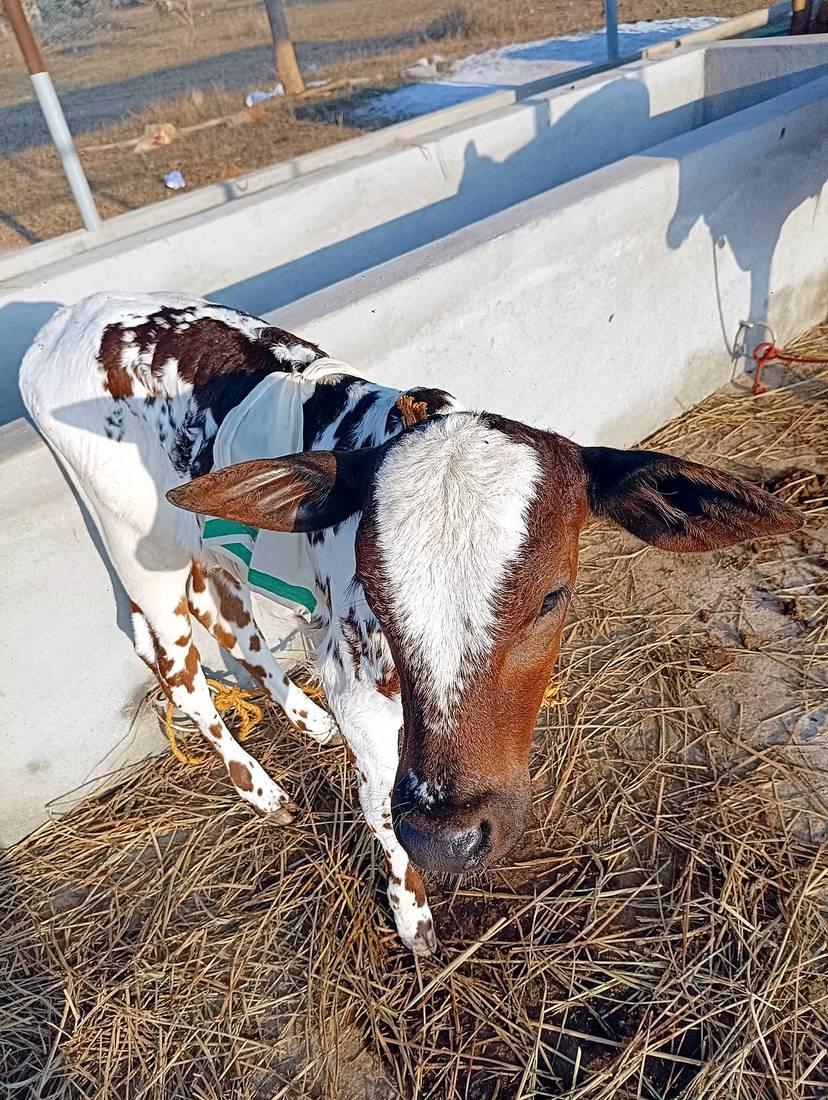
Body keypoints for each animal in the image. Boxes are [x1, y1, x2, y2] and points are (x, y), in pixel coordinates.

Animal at [20, 292, 802, 955]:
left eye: (553, 596)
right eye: (373, 584)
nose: (448, 838)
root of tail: (63, 318)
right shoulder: (357, 683)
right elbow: (375, 799)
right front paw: (412, 915)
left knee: (233, 624)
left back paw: (304, 720)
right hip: (139, 548)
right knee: (178, 671)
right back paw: (262, 791)